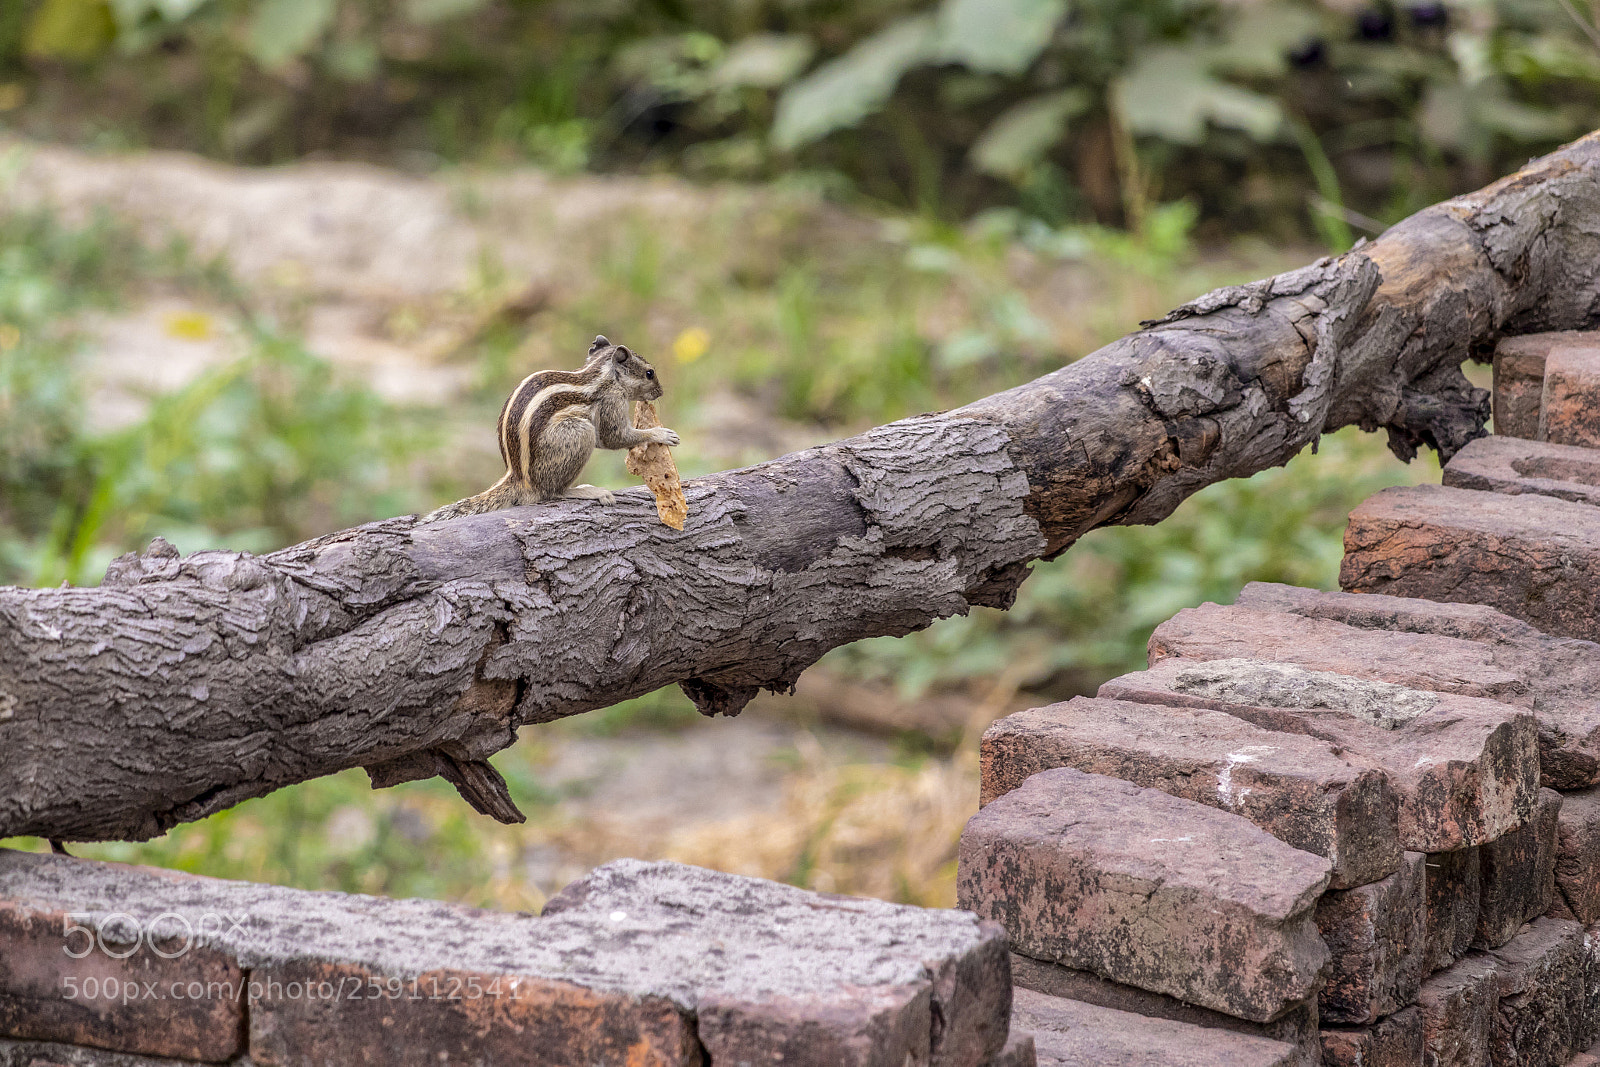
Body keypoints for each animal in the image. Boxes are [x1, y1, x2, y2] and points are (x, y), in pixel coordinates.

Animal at [420, 335, 680, 523]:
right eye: (649, 373)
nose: (661, 392)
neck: (603, 375)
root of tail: (519, 480)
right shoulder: (611, 402)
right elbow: (614, 437)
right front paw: (661, 433)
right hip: (578, 434)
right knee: (552, 492)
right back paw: (586, 490)